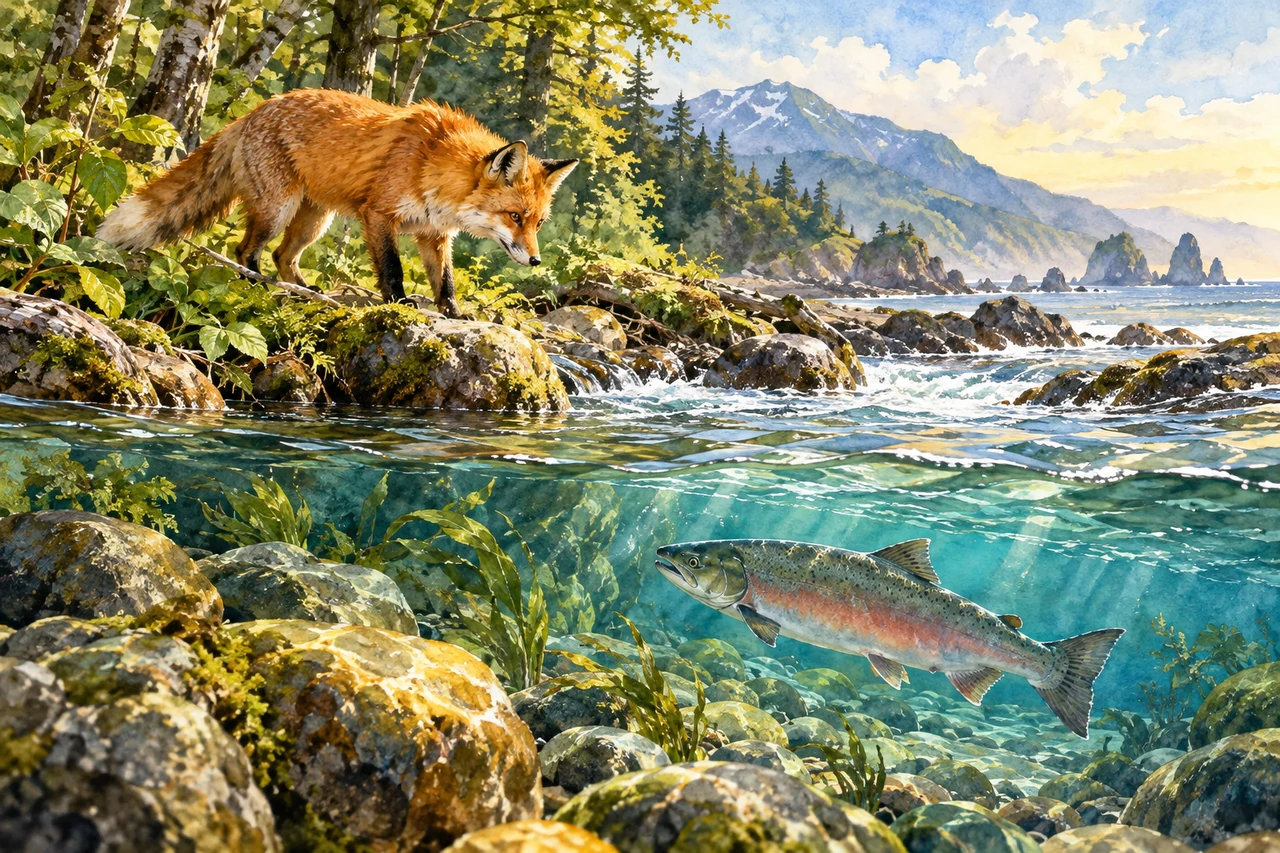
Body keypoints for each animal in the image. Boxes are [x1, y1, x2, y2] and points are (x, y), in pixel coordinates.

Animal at [97, 88, 578, 317]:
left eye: (537, 223)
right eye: (514, 216)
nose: (536, 261)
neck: (433, 165)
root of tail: (251, 113)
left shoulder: (433, 234)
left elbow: (445, 283)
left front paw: (456, 316)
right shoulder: (378, 215)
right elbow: (392, 271)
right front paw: (399, 306)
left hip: (315, 220)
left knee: (283, 256)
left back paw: (304, 290)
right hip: (278, 210)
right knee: (246, 250)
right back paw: (259, 286)